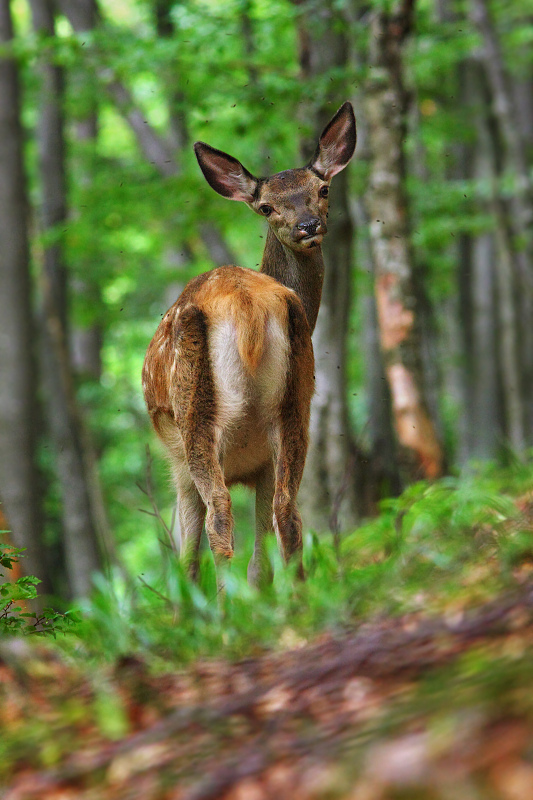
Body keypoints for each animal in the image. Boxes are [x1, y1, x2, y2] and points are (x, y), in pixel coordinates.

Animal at [142, 102, 356, 589]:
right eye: (266, 206)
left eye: (322, 188)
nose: (308, 225)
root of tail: (245, 304)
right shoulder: (261, 463)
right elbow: (262, 557)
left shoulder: (177, 466)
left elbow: (187, 560)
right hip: (295, 406)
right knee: (289, 514)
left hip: (194, 412)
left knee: (219, 517)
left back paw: (224, 606)